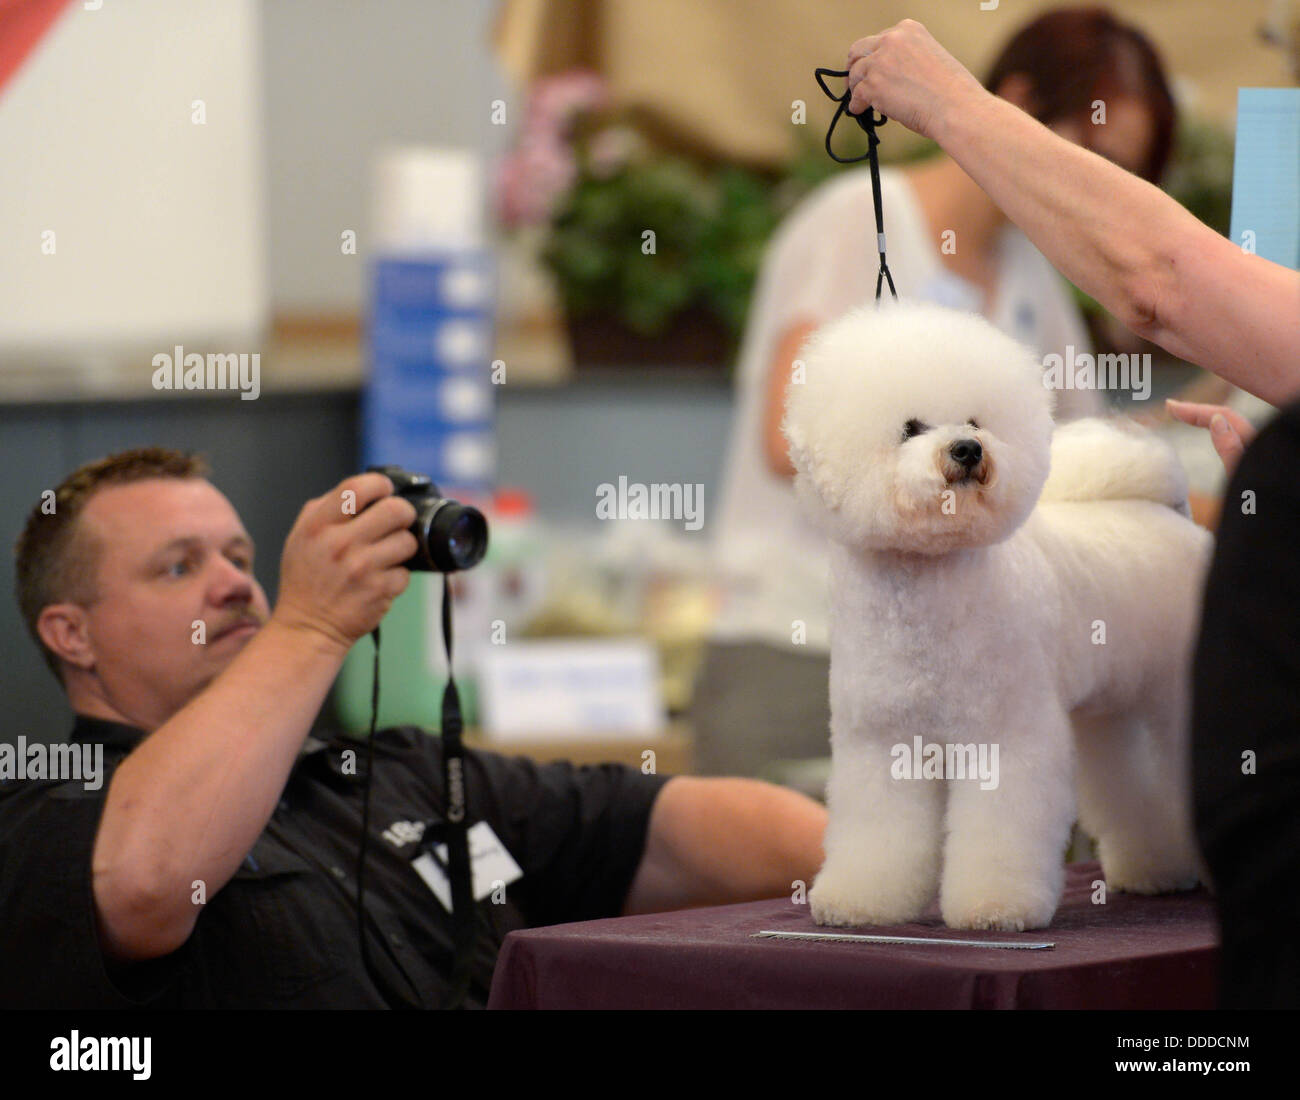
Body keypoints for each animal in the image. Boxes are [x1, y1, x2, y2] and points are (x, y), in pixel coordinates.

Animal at [780, 304, 1216, 941]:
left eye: (974, 421)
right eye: (910, 428)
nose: (967, 449)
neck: (926, 590)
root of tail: (1173, 516)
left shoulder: (1006, 734)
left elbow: (1000, 828)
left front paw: (996, 907)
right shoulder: (881, 741)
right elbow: (879, 832)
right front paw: (862, 902)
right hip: (1115, 708)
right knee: (1133, 785)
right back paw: (1156, 869)